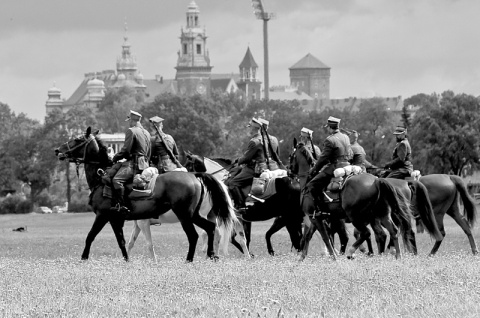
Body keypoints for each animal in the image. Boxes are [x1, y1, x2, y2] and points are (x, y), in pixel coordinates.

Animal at [54, 125, 238, 262]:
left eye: (78, 139)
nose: (57, 150)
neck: (101, 177)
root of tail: (194, 176)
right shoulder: (117, 219)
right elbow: (123, 242)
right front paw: (126, 261)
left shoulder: (103, 216)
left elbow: (90, 237)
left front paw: (83, 258)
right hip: (194, 215)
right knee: (210, 229)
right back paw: (211, 255)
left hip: (185, 215)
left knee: (194, 235)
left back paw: (190, 259)